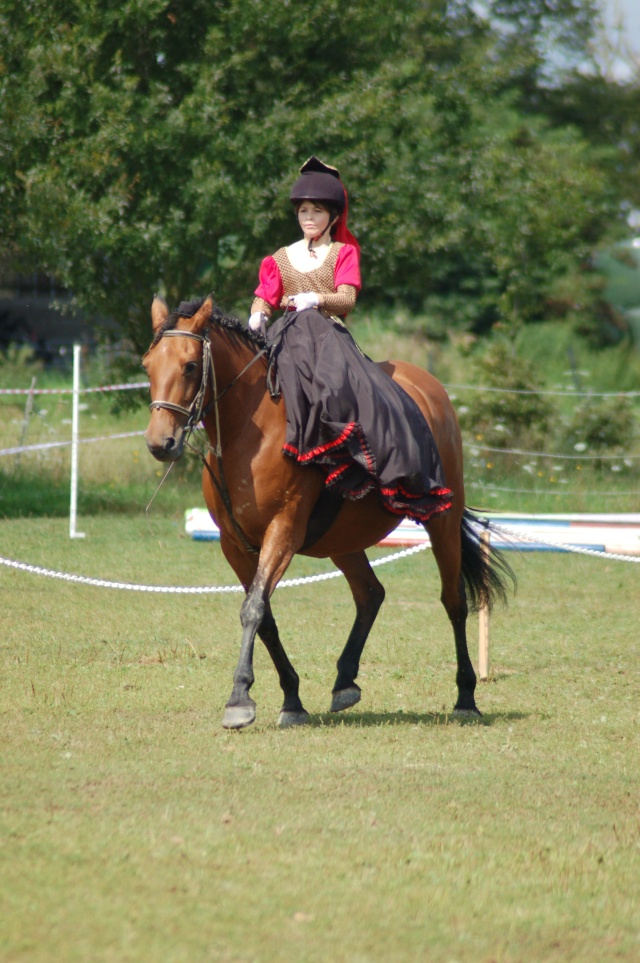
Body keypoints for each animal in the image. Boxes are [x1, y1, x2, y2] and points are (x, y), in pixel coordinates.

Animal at [142, 294, 512, 732]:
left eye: (190, 366)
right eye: (148, 365)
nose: (160, 443)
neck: (245, 434)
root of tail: (428, 385)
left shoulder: (283, 531)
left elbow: (253, 609)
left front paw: (239, 699)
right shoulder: (235, 545)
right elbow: (264, 616)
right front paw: (292, 700)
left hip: (442, 523)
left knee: (453, 600)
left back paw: (466, 697)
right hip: (343, 539)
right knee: (370, 594)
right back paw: (345, 681)